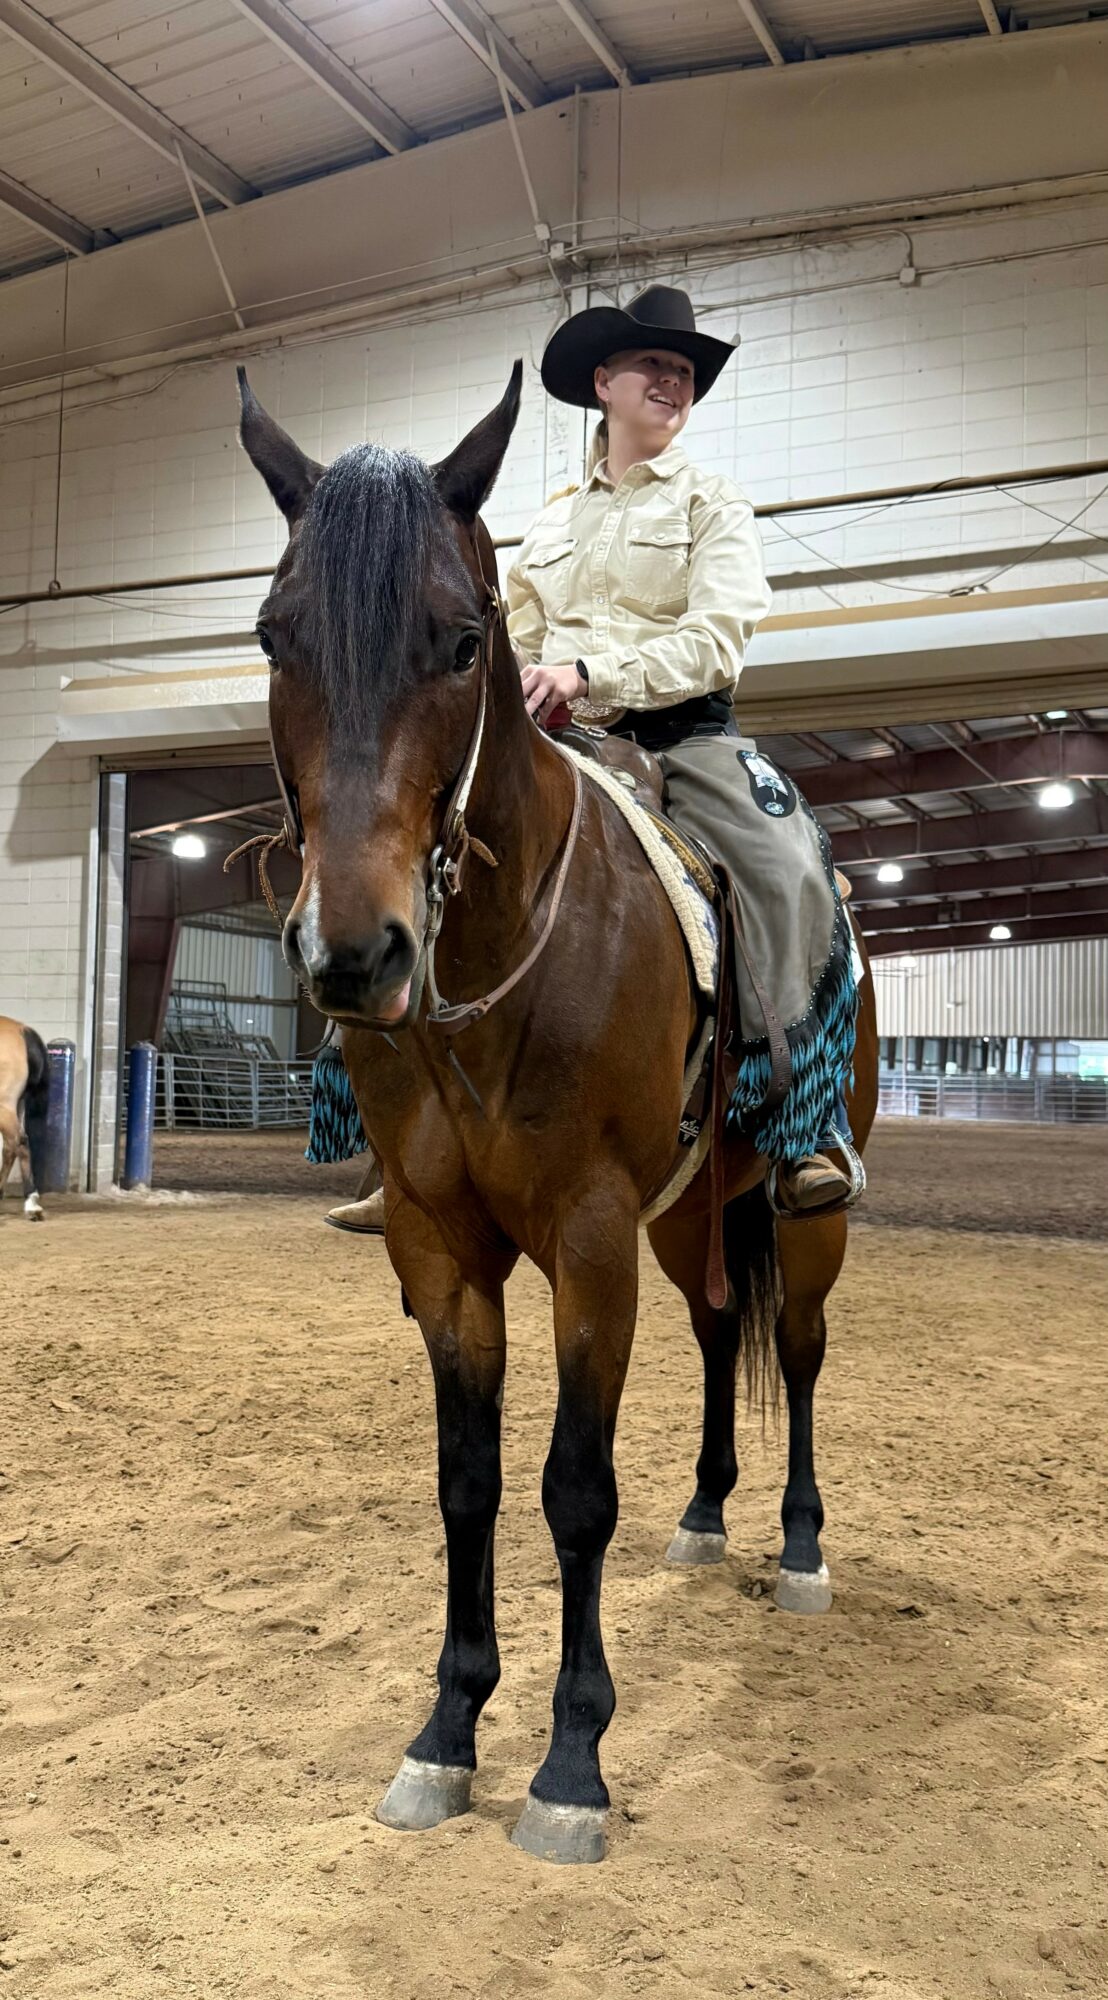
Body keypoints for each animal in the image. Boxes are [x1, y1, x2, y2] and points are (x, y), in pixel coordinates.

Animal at [238, 363, 878, 1865]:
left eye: (464, 640)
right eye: (274, 635)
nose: (355, 952)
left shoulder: (587, 1242)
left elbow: (572, 1489)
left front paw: (570, 1764)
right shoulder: (440, 1250)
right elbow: (467, 1482)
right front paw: (444, 1735)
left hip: (798, 1215)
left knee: (799, 1350)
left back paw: (799, 1548)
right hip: (692, 1216)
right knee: (717, 1326)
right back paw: (705, 1515)